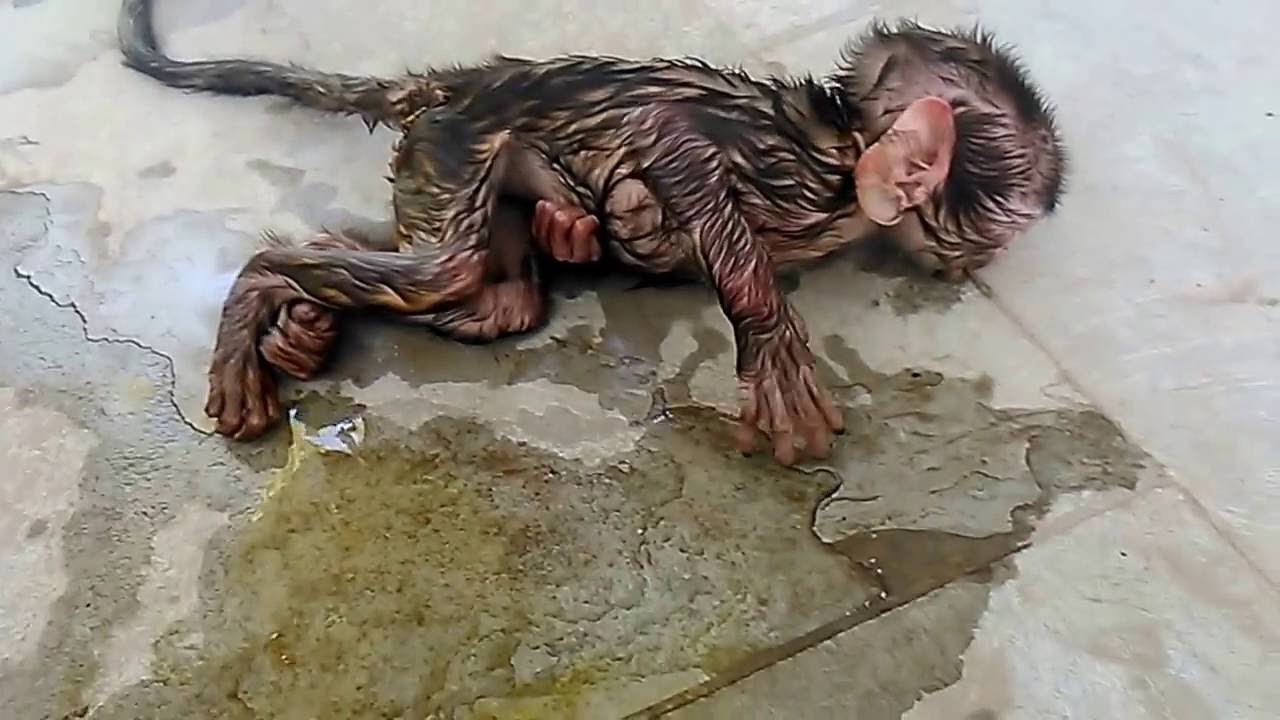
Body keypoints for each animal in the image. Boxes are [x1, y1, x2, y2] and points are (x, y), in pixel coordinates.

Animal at [118, 0, 1066, 465]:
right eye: (1001, 224)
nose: (979, 263)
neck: (847, 156)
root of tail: (449, 87)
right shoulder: (796, 171)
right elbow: (668, 134)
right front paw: (768, 336)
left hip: (438, 176)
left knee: (493, 298)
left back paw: (310, 307)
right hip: (452, 153)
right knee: (445, 268)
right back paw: (261, 291)